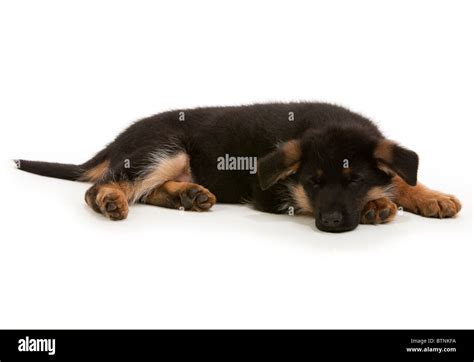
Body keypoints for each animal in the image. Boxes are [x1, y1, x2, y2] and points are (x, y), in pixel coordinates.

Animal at [16, 102, 462, 232]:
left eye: (355, 181)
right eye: (313, 184)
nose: (331, 225)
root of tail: (117, 140)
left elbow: (400, 177)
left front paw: (430, 197)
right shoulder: (273, 191)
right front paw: (378, 205)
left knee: (146, 190)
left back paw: (189, 195)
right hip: (166, 149)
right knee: (106, 187)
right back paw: (110, 200)